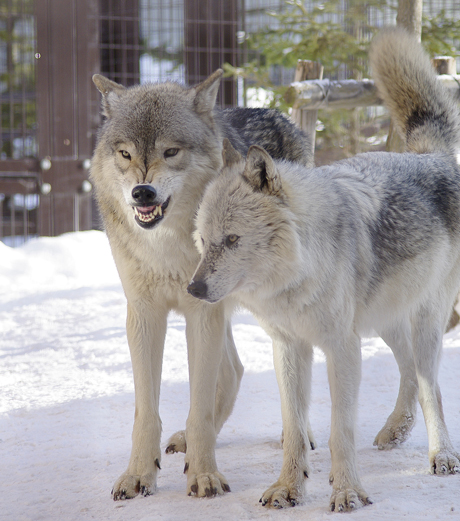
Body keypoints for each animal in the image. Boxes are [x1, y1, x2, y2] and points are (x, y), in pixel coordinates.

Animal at [90, 68, 312, 496]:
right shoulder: (144, 314)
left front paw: (205, 474)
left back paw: (299, 436)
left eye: (171, 152)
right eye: (125, 154)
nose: (142, 191)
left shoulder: (201, 312)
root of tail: (280, 116)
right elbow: (146, 412)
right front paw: (138, 474)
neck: (167, 247)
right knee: (235, 370)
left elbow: (199, 403)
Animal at [189, 26, 460, 510]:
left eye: (233, 240)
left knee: (431, 385)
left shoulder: (341, 347)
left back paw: (441, 455)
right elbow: (295, 430)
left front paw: (348, 492)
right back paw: (395, 431)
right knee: (408, 370)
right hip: (382, 322)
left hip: (424, 320)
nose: (194, 289)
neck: (298, 274)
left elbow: (340, 430)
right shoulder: (289, 348)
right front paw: (287, 488)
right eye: (203, 242)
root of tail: (432, 156)